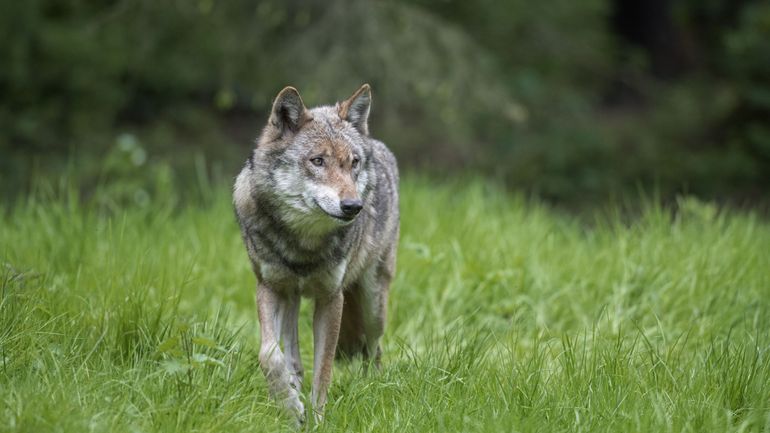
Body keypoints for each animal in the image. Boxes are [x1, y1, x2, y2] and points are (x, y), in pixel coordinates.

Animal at [231, 83, 400, 422]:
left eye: (353, 163)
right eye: (318, 161)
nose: (353, 206)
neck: (303, 244)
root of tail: (376, 143)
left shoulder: (331, 298)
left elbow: (323, 371)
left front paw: (317, 419)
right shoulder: (268, 287)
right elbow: (269, 354)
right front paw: (289, 405)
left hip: (373, 306)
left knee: (373, 348)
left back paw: (371, 387)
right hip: (292, 296)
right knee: (292, 353)